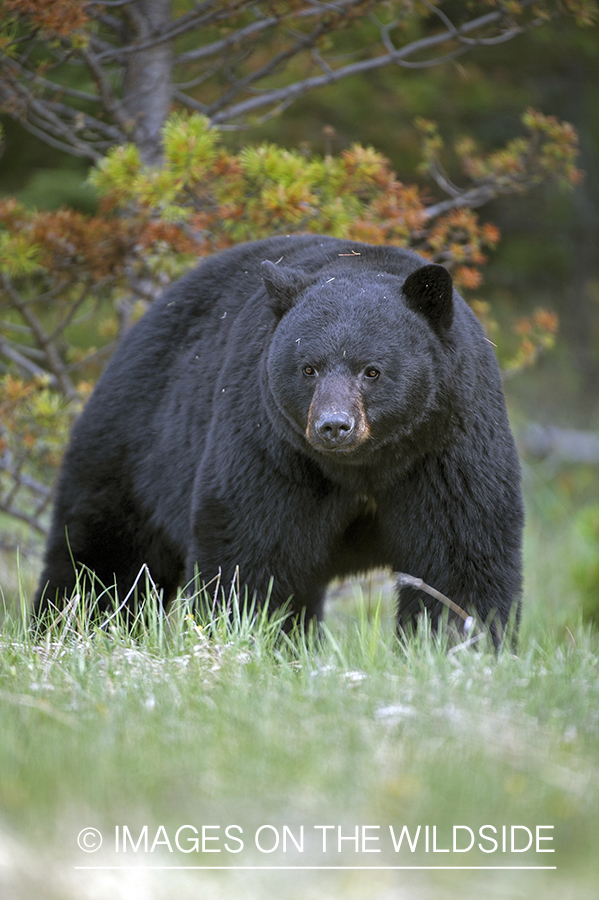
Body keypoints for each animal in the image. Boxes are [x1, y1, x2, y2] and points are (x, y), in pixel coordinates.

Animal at [32, 234, 524, 640]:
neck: (365, 465)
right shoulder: (271, 448)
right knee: (101, 562)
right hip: (135, 445)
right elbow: (251, 549)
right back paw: (68, 629)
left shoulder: (448, 445)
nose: (334, 425)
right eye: (308, 368)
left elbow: (460, 556)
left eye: (372, 371)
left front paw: (457, 645)